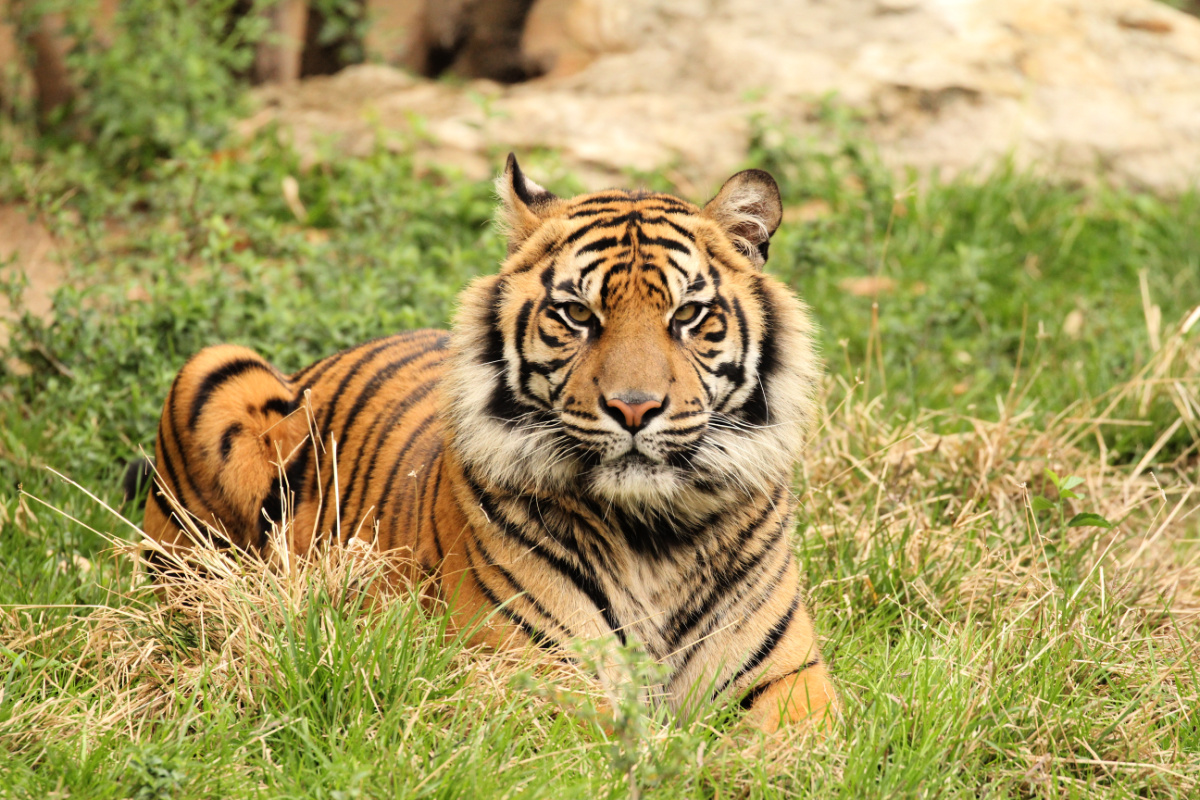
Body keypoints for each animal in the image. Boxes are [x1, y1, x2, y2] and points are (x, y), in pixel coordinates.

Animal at [138, 153, 835, 734]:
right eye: (577, 315)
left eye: (688, 316)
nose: (633, 408)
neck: (654, 537)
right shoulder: (534, 678)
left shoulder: (789, 681)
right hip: (213, 372)